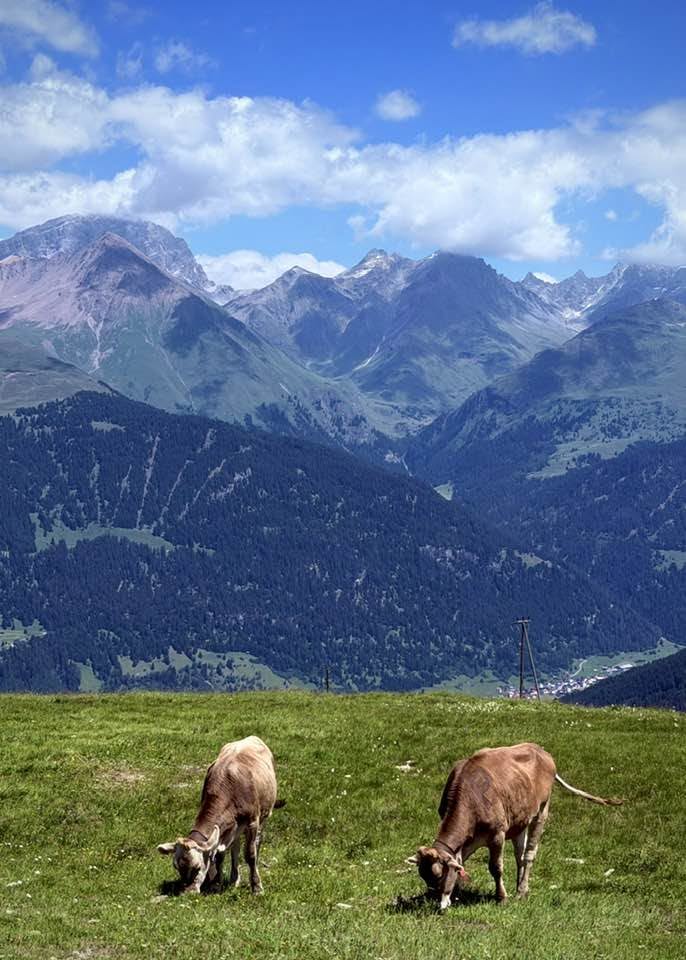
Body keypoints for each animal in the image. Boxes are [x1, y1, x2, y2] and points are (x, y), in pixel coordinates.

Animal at [158, 735, 278, 895]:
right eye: (176, 867)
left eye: (197, 867)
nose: (187, 891)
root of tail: (252, 737)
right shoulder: (224, 831)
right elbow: (220, 855)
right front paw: (216, 884)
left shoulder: (252, 821)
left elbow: (249, 854)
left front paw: (257, 887)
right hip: (237, 828)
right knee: (235, 847)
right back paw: (234, 879)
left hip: (264, 816)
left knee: (257, 842)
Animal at [408, 742, 622, 910]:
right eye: (423, 876)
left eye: (438, 875)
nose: (435, 902)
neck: (471, 797)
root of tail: (540, 750)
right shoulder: (468, 841)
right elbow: (460, 862)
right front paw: (457, 893)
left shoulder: (497, 834)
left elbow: (496, 867)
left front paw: (501, 898)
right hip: (520, 821)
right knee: (520, 855)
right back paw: (520, 888)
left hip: (542, 811)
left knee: (529, 854)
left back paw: (521, 891)